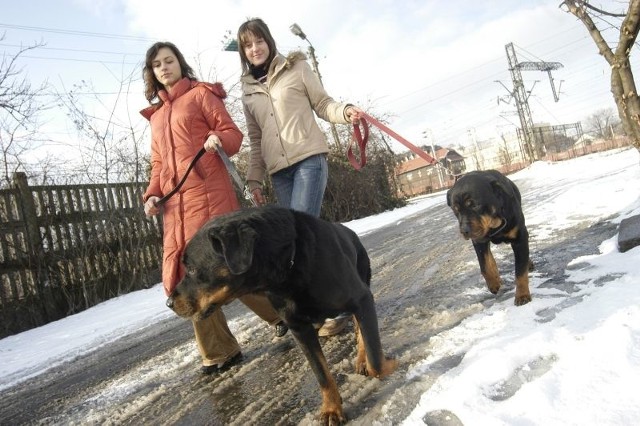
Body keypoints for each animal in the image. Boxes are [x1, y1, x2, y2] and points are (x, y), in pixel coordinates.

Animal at [165, 206, 396, 422]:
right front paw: (332, 409)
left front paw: (389, 366)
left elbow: (376, 361)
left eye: (192, 269)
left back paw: (361, 359)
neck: (288, 270)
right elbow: (321, 373)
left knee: (361, 332)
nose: (169, 302)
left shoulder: (361, 299)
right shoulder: (299, 328)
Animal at [448, 170, 532, 306]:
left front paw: (522, 295)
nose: (464, 230)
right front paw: (494, 283)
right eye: (456, 210)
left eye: (474, 205)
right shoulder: (479, 241)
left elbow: (520, 270)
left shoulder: (520, 238)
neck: (494, 223)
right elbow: (484, 266)